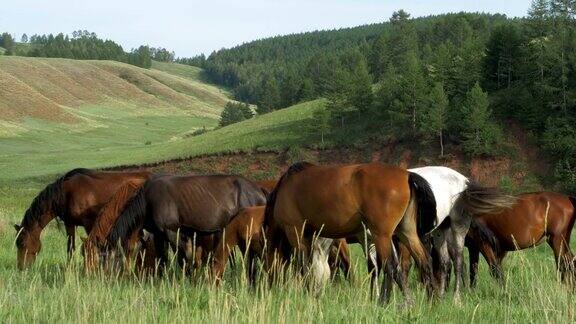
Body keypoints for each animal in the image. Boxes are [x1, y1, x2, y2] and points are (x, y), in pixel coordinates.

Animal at [14, 168, 152, 270]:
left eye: (22, 243)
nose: (21, 268)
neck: (66, 193)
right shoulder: (69, 223)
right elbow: (70, 247)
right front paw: (70, 268)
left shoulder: (89, 223)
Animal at [106, 173, 268, 272]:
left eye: (114, 256)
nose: (110, 278)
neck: (148, 201)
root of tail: (259, 190)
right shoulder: (159, 235)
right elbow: (163, 258)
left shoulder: (172, 231)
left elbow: (183, 258)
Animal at [264, 162, 434, 304]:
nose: (270, 286)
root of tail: (407, 175)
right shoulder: (312, 237)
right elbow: (316, 267)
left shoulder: (295, 231)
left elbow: (304, 265)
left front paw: (309, 294)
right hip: (405, 232)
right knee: (423, 262)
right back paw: (432, 301)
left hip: (382, 236)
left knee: (391, 267)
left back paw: (386, 303)